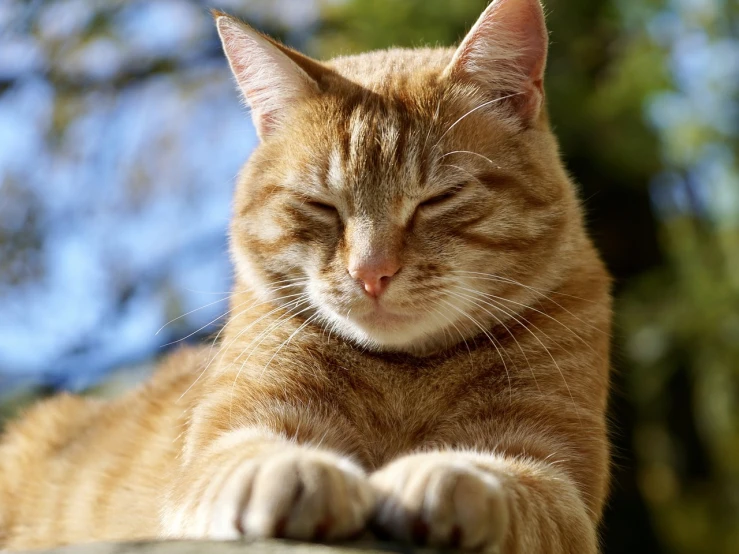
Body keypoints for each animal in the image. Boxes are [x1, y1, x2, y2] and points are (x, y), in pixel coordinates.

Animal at [0, 2, 612, 548]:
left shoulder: (556, 480)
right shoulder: (222, 445)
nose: (372, 272)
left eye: (438, 199)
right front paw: (295, 472)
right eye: (322, 206)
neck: (403, 375)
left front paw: (447, 473)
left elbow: (512, 479)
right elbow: (248, 455)